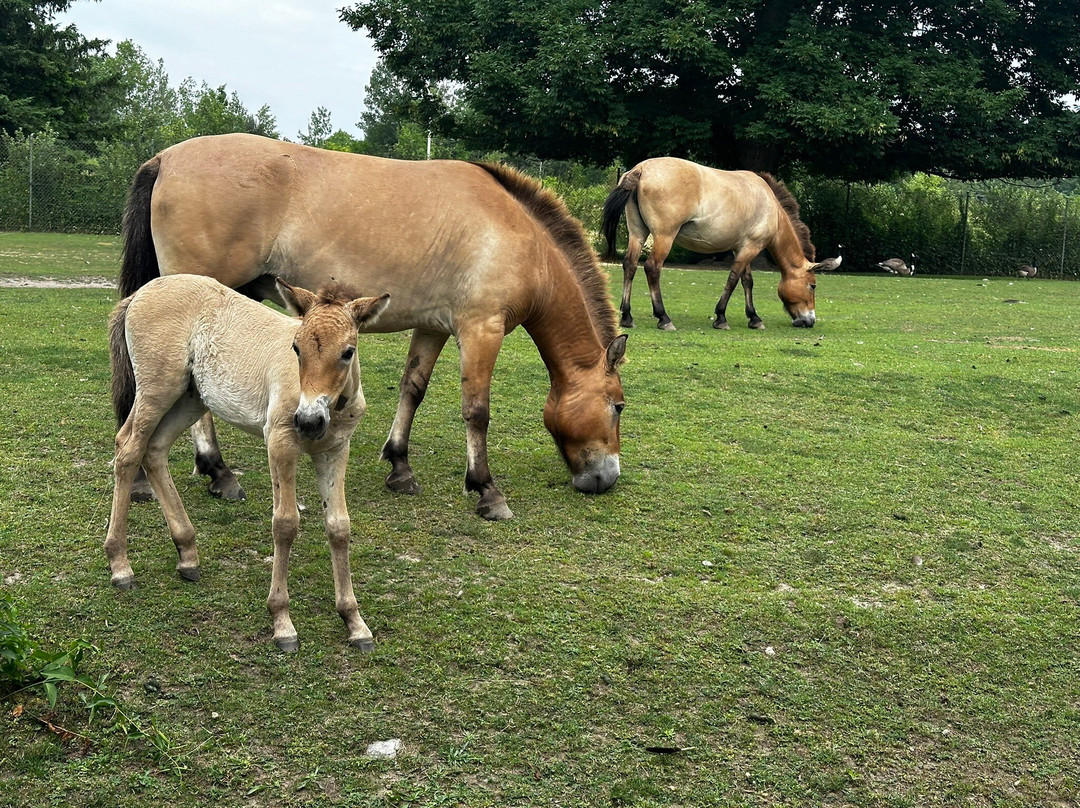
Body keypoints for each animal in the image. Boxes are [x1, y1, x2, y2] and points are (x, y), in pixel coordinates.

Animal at [105, 274, 390, 652]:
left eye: (348, 352)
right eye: (296, 348)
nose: (309, 421)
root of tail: (140, 293)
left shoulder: (336, 449)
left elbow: (339, 527)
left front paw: (355, 623)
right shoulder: (280, 440)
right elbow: (285, 524)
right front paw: (282, 622)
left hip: (190, 398)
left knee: (155, 450)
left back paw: (187, 554)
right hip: (157, 389)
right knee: (128, 449)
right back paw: (120, 566)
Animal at [119, 135, 630, 520]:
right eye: (618, 406)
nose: (606, 478)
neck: (516, 237)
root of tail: (165, 159)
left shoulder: (433, 328)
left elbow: (413, 389)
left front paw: (400, 465)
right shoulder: (480, 330)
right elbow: (476, 411)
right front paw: (486, 489)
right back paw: (218, 471)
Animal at [600, 156, 842, 330]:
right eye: (812, 285)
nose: (809, 321)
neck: (771, 207)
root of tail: (641, 169)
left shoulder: (741, 248)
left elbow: (747, 281)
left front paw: (754, 318)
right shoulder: (751, 247)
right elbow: (734, 279)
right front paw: (721, 317)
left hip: (638, 234)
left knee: (630, 265)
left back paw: (627, 316)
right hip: (663, 237)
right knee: (652, 268)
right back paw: (664, 318)